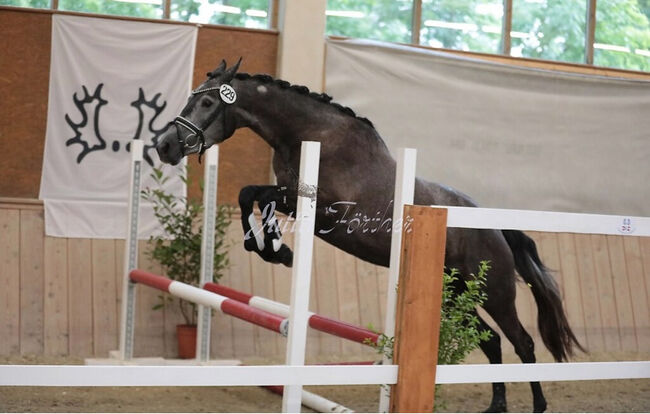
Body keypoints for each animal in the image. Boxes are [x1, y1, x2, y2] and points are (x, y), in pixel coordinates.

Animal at [155, 59, 584, 413]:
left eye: (207, 104)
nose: (164, 146)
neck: (311, 135)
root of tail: (493, 226)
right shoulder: (294, 199)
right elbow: (250, 196)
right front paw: (271, 248)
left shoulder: (325, 209)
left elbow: (257, 196)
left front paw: (279, 251)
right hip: (453, 293)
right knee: (491, 340)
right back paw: (496, 406)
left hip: (494, 291)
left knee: (522, 342)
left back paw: (537, 405)